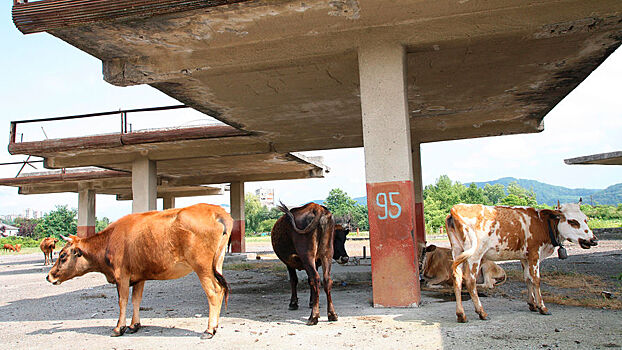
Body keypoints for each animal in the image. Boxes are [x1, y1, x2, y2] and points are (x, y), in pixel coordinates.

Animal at [47, 204, 234, 338]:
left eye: (62, 255)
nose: (49, 276)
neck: (109, 240)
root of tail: (216, 211)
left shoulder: (121, 276)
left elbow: (122, 301)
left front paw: (118, 328)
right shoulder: (139, 277)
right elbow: (136, 300)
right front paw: (134, 325)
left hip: (202, 268)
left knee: (214, 292)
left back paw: (209, 330)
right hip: (217, 264)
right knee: (221, 289)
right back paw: (214, 327)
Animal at [448, 202, 600, 322]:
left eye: (585, 219)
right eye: (573, 221)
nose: (594, 240)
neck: (543, 224)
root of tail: (456, 208)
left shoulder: (524, 257)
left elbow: (527, 279)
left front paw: (532, 304)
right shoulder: (534, 254)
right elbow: (536, 280)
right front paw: (542, 307)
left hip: (457, 252)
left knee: (457, 279)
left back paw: (461, 314)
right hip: (475, 255)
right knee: (470, 281)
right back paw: (481, 312)